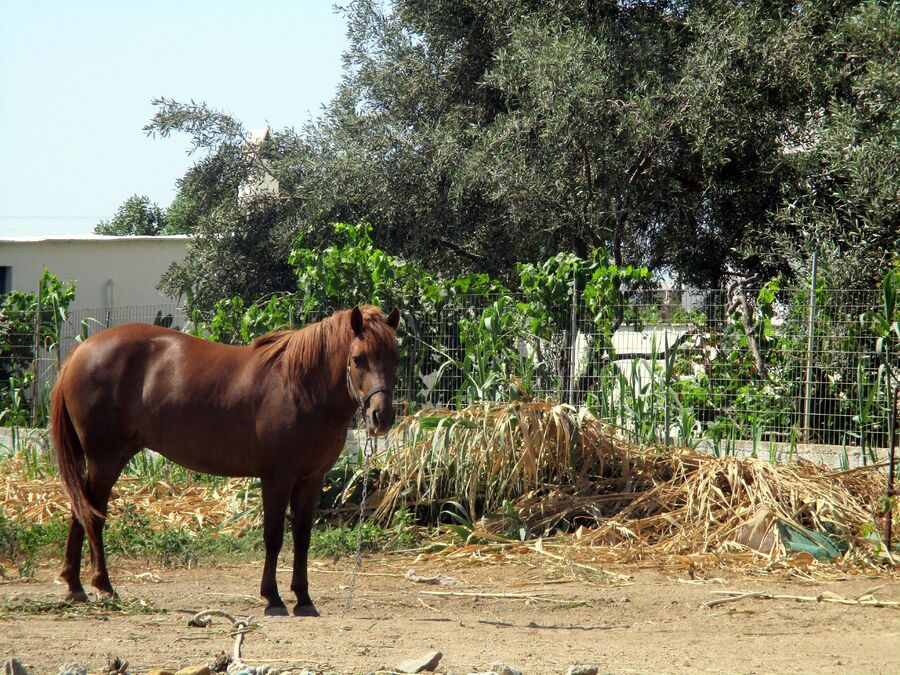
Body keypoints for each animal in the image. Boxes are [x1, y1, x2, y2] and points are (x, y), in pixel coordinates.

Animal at [51, 306, 400, 616]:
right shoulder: (277, 478)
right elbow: (273, 537)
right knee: (92, 515)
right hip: (104, 459)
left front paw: (303, 599)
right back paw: (103, 586)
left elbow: (302, 537)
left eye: (394, 356)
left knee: (80, 510)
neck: (300, 386)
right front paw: (273, 599)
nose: (380, 417)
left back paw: (75, 587)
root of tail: (80, 352)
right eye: (357, 359)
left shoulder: (311, 480)